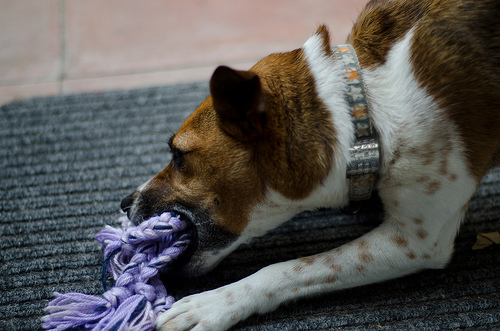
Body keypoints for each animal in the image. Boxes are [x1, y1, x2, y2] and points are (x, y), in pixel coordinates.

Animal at [120, 1, 500, 330]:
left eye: (178, 155)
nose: (124, 203)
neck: (365, 111)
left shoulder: (415, 239)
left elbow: (283, 269)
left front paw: (213, 305)